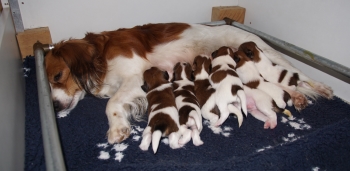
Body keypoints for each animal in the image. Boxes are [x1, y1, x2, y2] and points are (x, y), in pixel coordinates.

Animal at [44, 21, 334, 144]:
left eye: (58, 76)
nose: (54, 107)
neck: (100, 56)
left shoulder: (136, 75)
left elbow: (112, 103)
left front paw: (116, 130)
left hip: (267, 54)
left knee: (300, 75)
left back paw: (323, 87)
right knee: (283, 84)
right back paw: (296, 98)